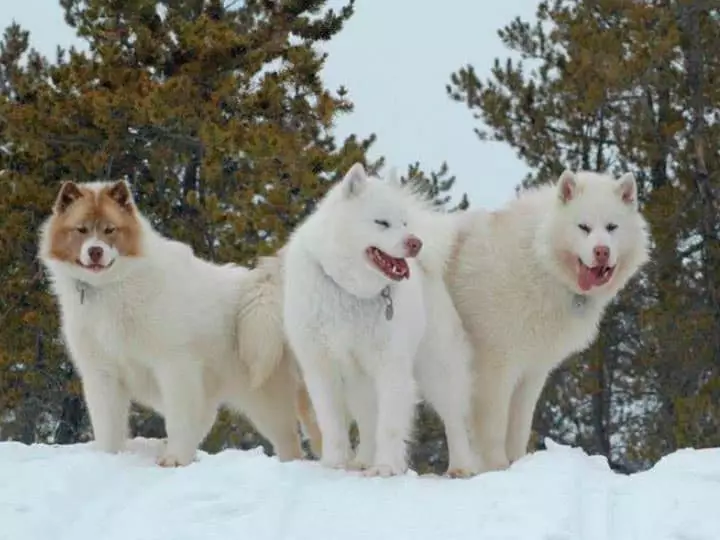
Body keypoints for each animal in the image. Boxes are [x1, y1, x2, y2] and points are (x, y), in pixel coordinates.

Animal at [282, 163, 478, 476]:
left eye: (404, 223)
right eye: (382, 222)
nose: (415, 243)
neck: (350, 292)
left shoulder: (391, 365)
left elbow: (389, 426)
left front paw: (385, 468)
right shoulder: (321, 367)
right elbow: (333, 426)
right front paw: (335, 465)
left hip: (438, 368)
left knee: (454, 421)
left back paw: (460, 468)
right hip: (359, 381)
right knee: (367, 421)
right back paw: (361, 461)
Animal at [448, 170, 648, 472]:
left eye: (612, 227)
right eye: (584, 227)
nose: (601, 251)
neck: (540, 263)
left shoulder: (531, 372)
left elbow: (519, 428)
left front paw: (518, 464)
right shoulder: (494, 367)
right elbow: (493, 428)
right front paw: (497, 469)